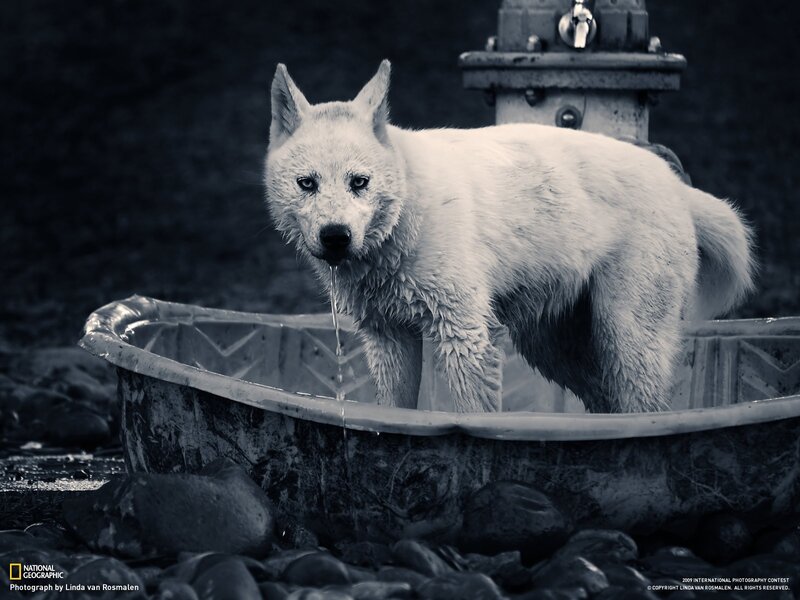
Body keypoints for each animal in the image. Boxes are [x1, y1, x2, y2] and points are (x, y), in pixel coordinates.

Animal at [264, 60, 755, 413]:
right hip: (556, 347)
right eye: (307, 183)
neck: (407, 213)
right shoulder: (388, 338)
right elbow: (395, 411)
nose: (335, 237)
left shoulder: (464, 335)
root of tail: (675, 186)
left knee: (644, 410)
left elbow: (477, 417)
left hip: (627, 337)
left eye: (359, 182)